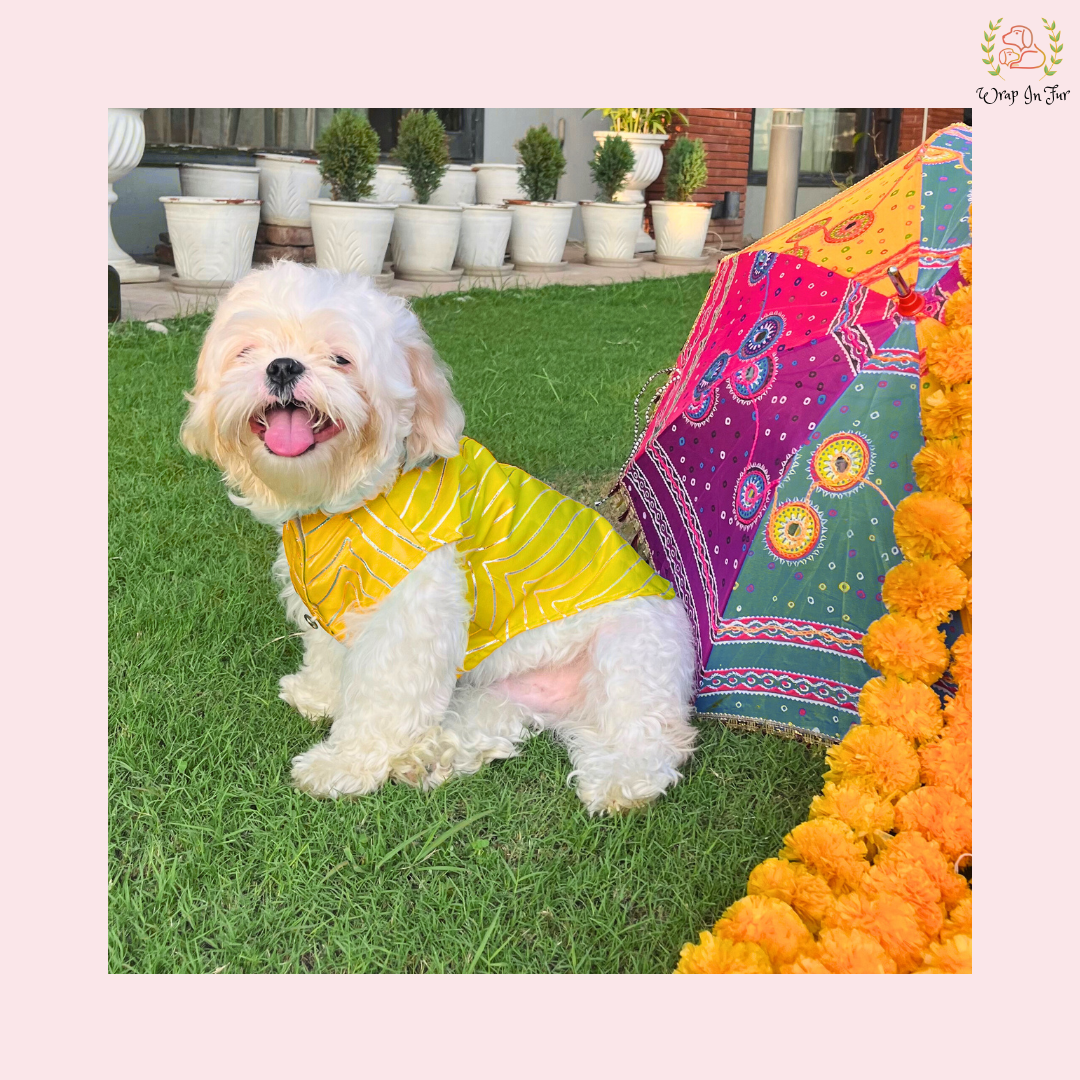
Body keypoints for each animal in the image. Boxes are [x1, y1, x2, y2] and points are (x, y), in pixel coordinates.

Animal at [181, 265, 695, 812]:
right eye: (248, 350)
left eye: (341, 358)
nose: (281, 367)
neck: (351, 496)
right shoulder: (333, 598)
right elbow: (330, 657)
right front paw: (318, 695)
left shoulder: (411, 613)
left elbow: (384, 697)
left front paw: (343, 766)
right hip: (499, 691)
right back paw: (428, 757)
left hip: (630, 655)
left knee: (652, 736)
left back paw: (620, 780)